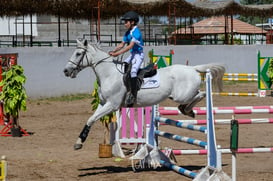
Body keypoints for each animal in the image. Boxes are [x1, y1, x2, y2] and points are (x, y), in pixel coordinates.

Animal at [63, 39, 225, 150]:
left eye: (78, 54)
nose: (66, 71)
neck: (109, 74)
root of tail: (192, 68)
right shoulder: (103, 104)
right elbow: (90, 119)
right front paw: (78, 142)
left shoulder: (112, 105)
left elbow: (92, 119)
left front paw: (79, 143)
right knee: (197, 95)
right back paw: (187, 110)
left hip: (182, 95)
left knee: (201, 93)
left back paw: (187, 110)